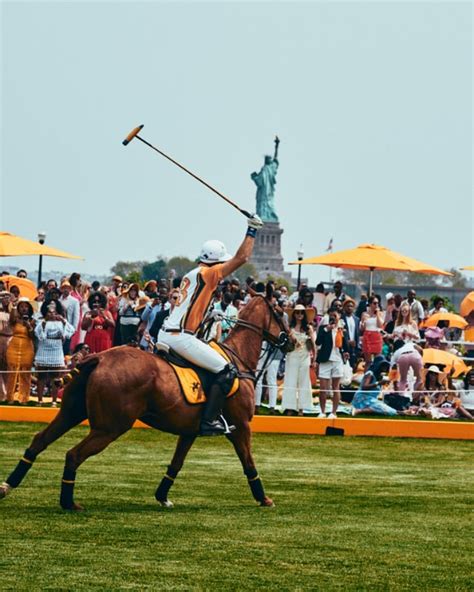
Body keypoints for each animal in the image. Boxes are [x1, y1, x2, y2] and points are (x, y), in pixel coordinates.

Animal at [0, 296, 288, 508]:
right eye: (280, 312)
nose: (292, 340)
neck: (238, 358)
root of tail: (98, 358)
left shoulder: (190, 430)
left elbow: (177, 463)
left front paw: (163, 496)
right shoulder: (241, 426)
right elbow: (248, 462)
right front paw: (264, 498)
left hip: (72, 412)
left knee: (40, 440)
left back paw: (8, 485)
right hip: (110, 427)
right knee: (74, 454)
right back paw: (68, 502)